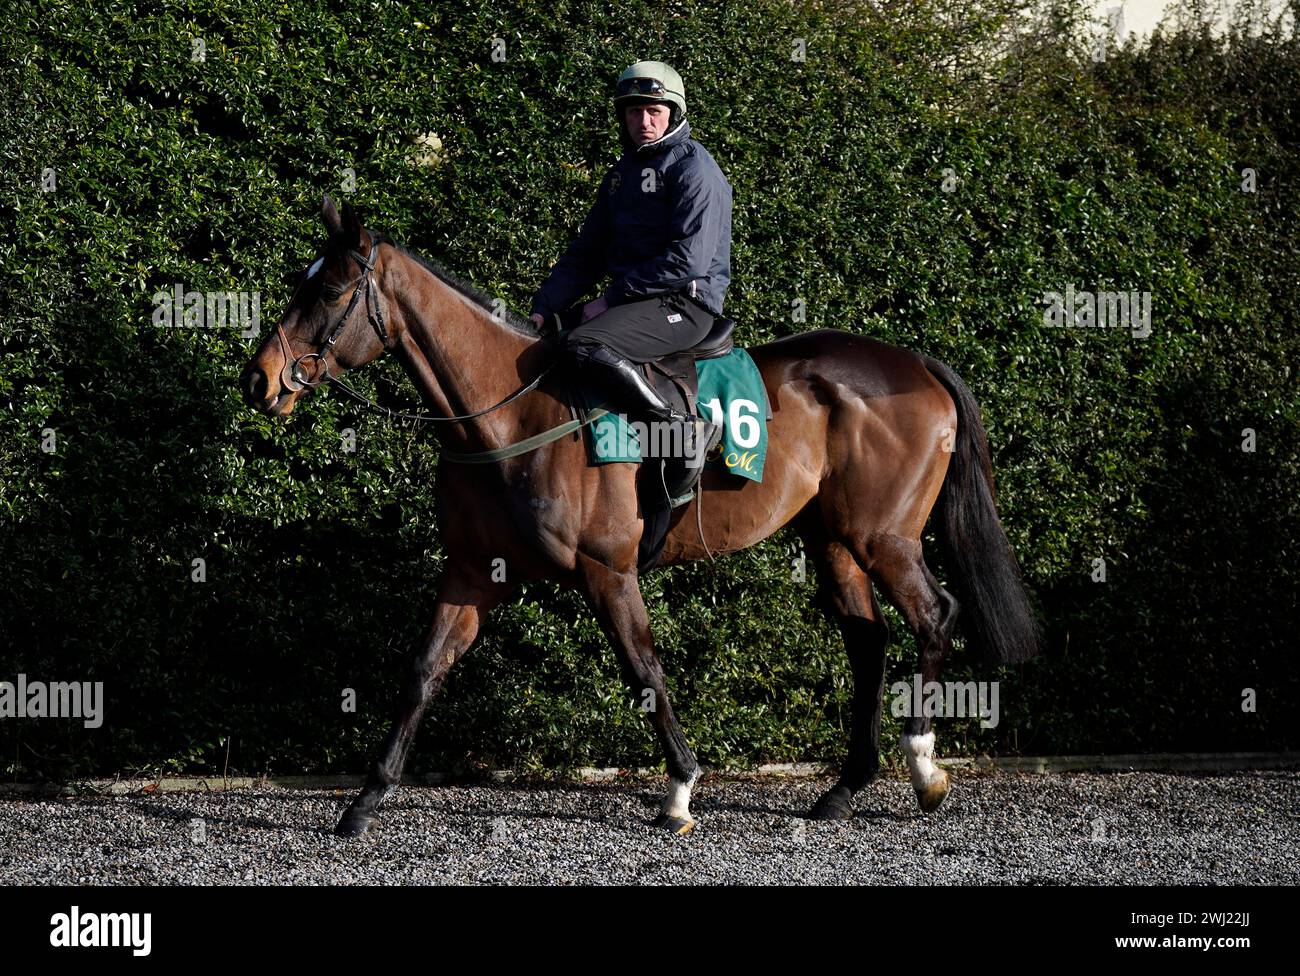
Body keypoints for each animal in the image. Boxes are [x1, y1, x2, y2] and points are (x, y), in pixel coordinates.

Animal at [241, 194, 1034, 836]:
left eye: (331, 289)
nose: (261, 379)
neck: (510, 415)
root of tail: (918, 364)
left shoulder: (607, 572)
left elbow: (643, 669)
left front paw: (680, 790)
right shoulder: (471, 573)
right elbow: (424, 670)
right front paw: (365, 801)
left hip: (884, 536)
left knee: (933, 614)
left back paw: (924, 766)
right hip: (832, 539)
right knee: (867, 640)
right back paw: (845, 788)